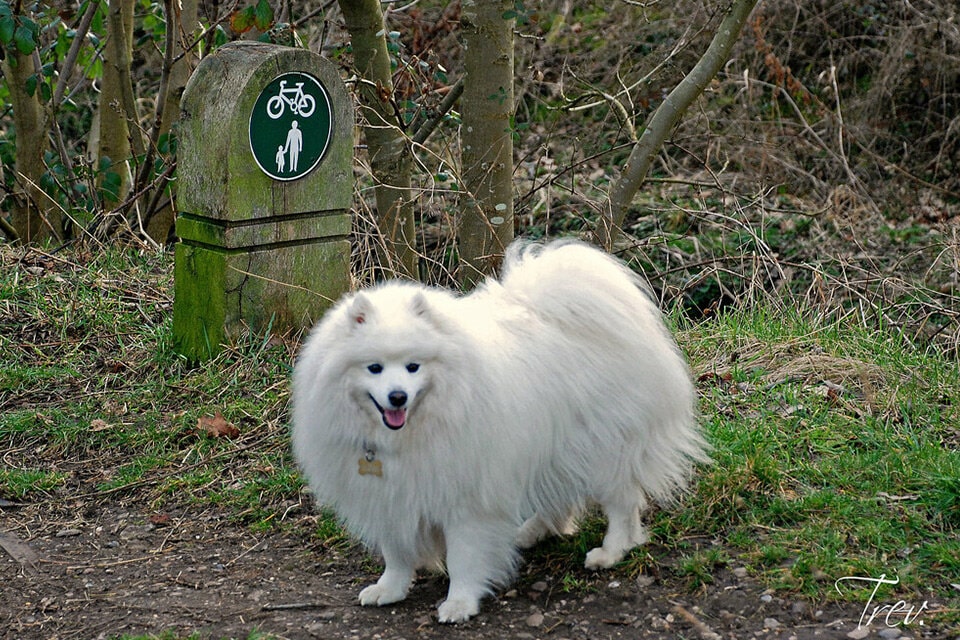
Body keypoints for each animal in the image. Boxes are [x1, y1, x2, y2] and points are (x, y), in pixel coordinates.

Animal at [290, 239, 704, 620]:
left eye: (413, 366)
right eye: (374, 367)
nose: (397, 397)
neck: (413, 431)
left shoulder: (465, 498)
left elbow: (463, 557)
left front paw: (459, 603)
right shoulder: (391, 494)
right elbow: (397, 552)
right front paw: (389, 589)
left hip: (602, 447)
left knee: (622, 503)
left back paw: (611, 551)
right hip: (555, 448)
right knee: (562, 496)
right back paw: (532, 531)